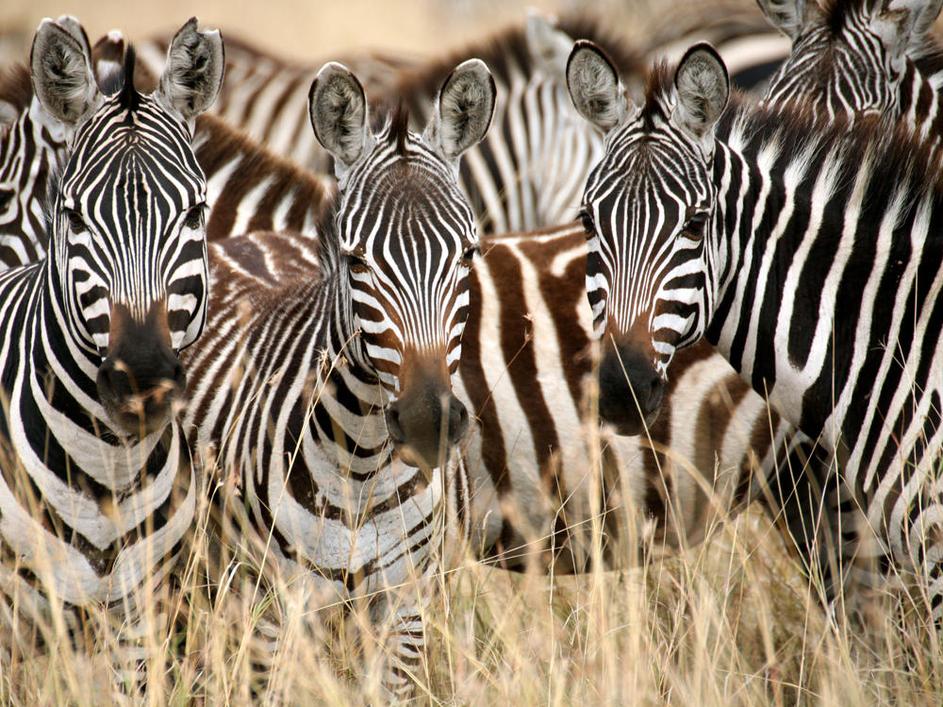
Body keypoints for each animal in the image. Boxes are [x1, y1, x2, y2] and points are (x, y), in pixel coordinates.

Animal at [181, 59, 498, 696]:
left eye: (467, 254)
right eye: (356, 262)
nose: (428, 422)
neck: (363, 466)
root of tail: (249, 239)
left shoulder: (405, 607)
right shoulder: (273, 611)